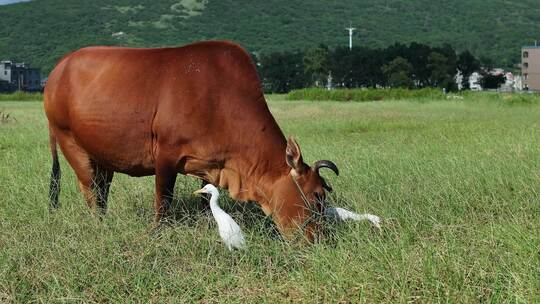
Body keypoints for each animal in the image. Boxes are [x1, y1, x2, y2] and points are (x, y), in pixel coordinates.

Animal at [44, 40, 338, 240]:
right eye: (317, 197)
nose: (319, 239)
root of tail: (59, 68)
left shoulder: (210, 164)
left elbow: (206, 199)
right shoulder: (166, 155)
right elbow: (163, 201)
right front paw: (155, 234)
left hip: (101, 153)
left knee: (102, 190)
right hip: (70, 142)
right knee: (91, 191)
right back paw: (100, 226)